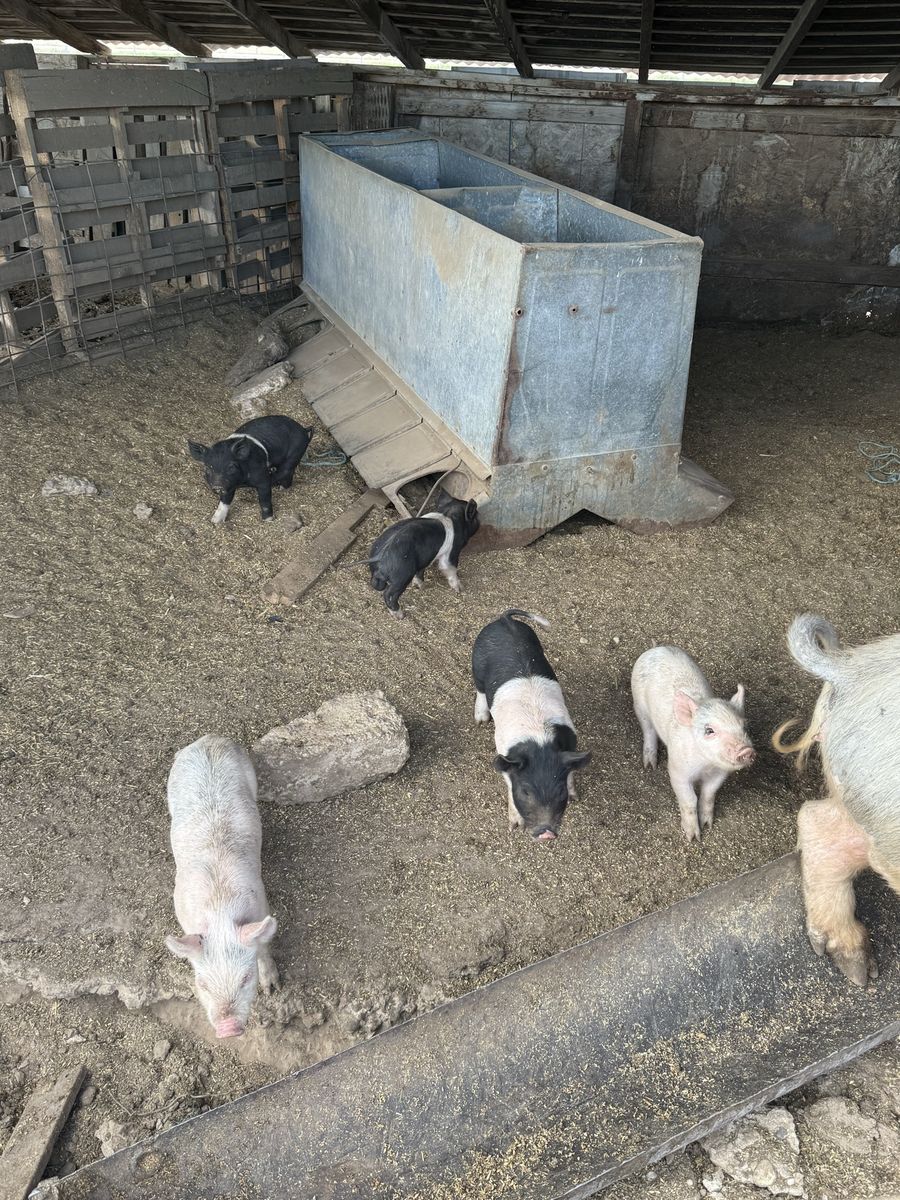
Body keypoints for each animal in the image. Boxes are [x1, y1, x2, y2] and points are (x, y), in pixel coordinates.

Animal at [165, 735, 278, 1038]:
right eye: (202, 983)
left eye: (245, 978)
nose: (228, 1029)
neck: (219, 908)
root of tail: (209, 740)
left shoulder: (261, 899)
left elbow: (263, 947)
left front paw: (273, 988)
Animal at [366, 489, 480, 618]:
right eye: (476, 516)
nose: (480, 522)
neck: (450, 514)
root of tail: (380, 555)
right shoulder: (452, 551)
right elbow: (449, 567)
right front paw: (460, 589)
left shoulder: (425, 557)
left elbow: (421, 570)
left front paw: (419, 586)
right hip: (402, 575)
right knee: (388, 594)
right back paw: (400, 615)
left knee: (377, 584)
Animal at [472, 609, 591, 841]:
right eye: (525, 791)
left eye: (560, 792)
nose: (546, 833)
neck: (539, 739)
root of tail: (504, 620)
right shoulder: (504, 753)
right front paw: (513, 826)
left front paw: (575, 796)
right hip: (476, 663)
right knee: (480, 689)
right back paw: (480, 719)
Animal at [631, 646, 755, 841]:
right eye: (709, 730)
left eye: (744, 726)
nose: (746, 750)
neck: (706, 765)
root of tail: (657, 648)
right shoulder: (677, 770)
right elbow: (689, 800)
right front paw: (693, 838)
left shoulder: (720, 773)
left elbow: (709, 794)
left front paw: (707, 825)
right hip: (639, 704)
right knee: (648, 730)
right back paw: (650, 765)